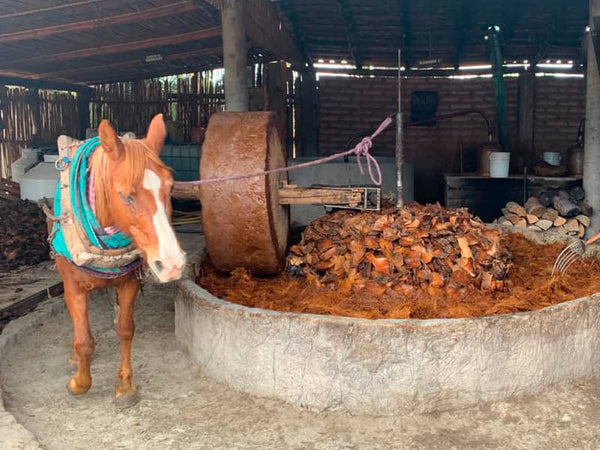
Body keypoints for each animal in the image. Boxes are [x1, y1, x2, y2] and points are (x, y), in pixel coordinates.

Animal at [51, 114, 185, 410]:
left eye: (170, 188)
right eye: (126, 196)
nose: (172, 265)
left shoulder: (129, 283)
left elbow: (125, 329)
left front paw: (124, 386)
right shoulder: (73, 286)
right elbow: (84, 341)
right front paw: (79, 383)